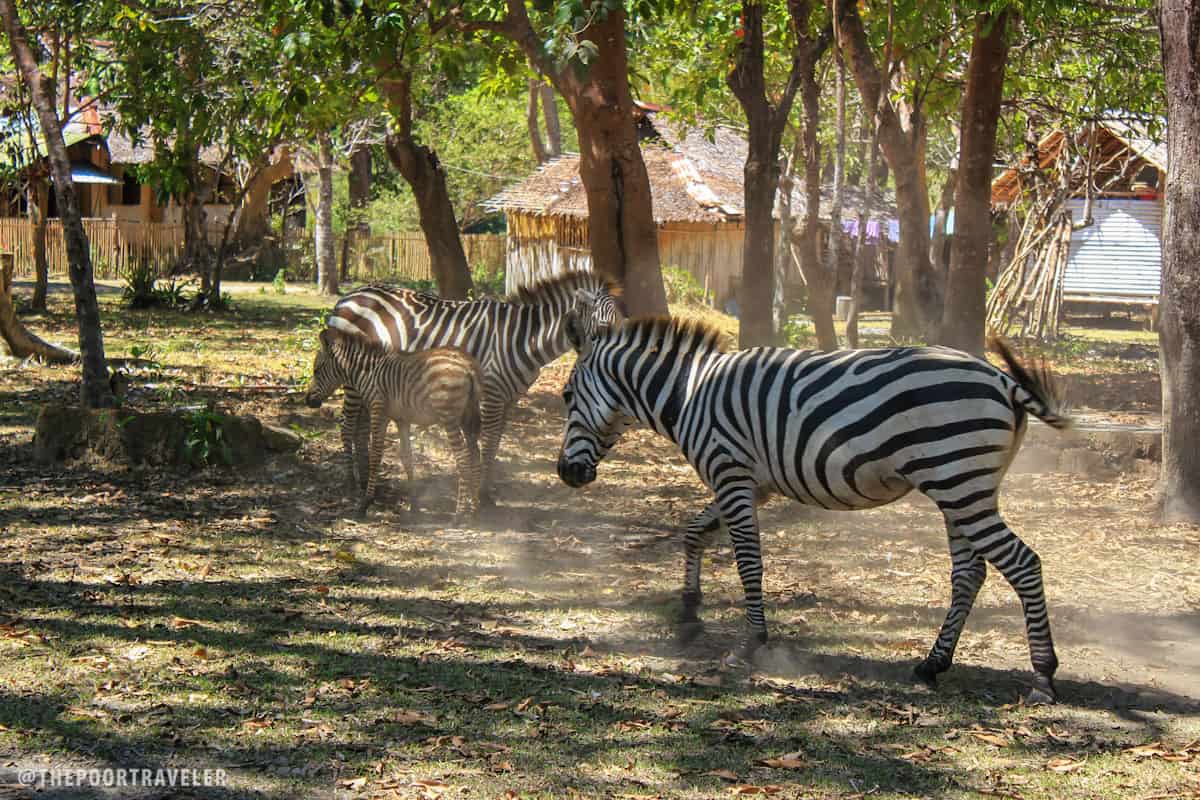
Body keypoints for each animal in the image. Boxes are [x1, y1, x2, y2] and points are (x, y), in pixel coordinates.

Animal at [304, 328, 482, 515]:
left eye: (316, 370)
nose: (307, 400)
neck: (369, 372)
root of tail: (468, 365)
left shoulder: (379, 412)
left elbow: (376, 454)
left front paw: (366, 501)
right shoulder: (401, 419)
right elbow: (407, 456)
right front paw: (414, 504)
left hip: (450, 418)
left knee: (463, 458)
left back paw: (460, 513)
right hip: (468, 416)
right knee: (475, 456)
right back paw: (475, 508)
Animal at [328, 272, 628, 503]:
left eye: (624, 324)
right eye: (603, 326)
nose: (619, 360)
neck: (522, 339)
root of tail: (350, 295)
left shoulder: (508, 398)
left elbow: (494, 443)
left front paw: (486, 490)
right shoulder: (491, 393)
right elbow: (489, 441)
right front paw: (483, 495)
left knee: (361, 427)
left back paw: (367, 478)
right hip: (351, 374)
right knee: (347, 424)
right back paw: (352, 481)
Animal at [556, 316, 1075, 705]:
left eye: (565, 396)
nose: (566, 474)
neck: (688, 394)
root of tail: (1001, 379)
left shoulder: (731, 473)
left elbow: (748, 562)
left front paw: (753, 642)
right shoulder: (751, 483)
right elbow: (695, 531)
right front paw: (688, 608)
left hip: (958, 481)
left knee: (1023, 563)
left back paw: (1043, 677)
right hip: (961, 488)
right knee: (969, 573)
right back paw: (932, 664)